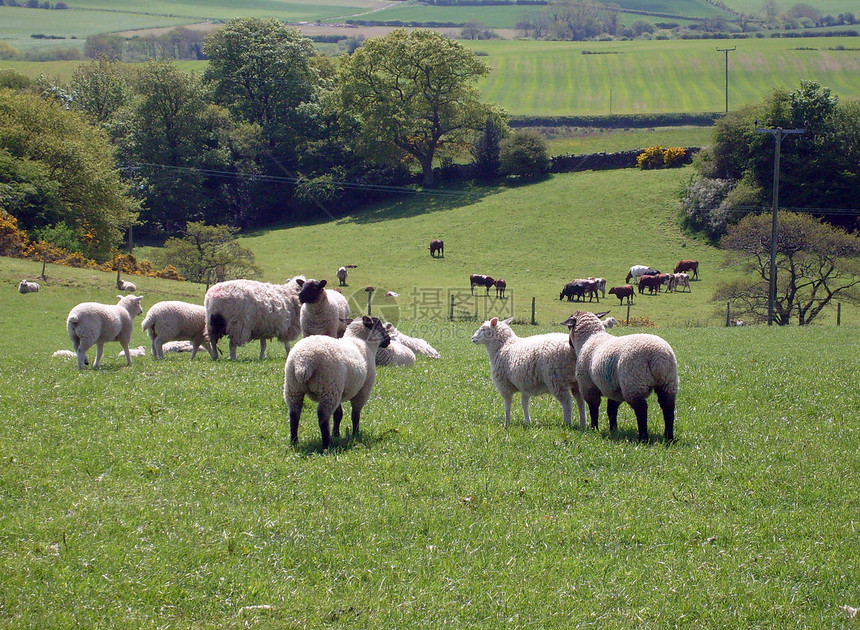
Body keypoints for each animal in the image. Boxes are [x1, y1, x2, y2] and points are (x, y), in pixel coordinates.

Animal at [284, 316, 392, 450]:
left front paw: (336, 434)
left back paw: (294, 441)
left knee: (294, 415)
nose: (388, 340)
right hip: (328, 388)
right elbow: (355, 415)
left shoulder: (340, 390)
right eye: (380, 326)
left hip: (293, 388)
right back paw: (327, 445)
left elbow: (338, 414)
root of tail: (303, 361)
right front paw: (355, 434)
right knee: (323, 417)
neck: (360, 342)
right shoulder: (363, 391)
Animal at [564, 312, 680, 444]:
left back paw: (643, 438)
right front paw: (613, 430)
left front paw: (594, 428)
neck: (590, 338)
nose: (569, 343)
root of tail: (658, 357)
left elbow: (594, 409)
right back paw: (669, 437)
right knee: (668, 407)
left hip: (633, 383)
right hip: (668, 382)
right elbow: (611, 409)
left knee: (641, 409)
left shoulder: (588, 386)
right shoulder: (614, 389)